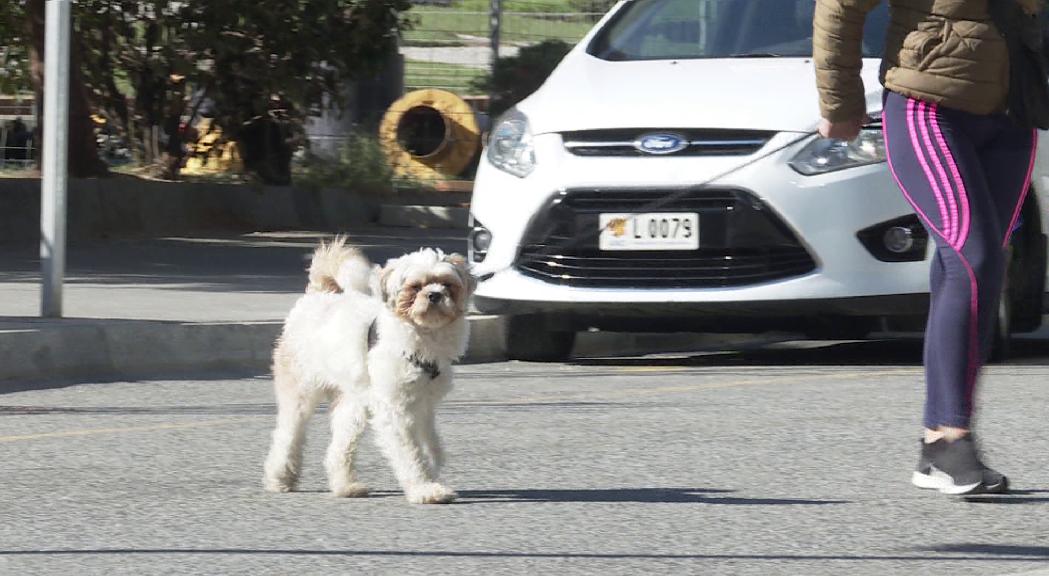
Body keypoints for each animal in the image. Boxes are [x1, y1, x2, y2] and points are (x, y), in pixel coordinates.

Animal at [262, 236, 476, 501]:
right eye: (415, 287)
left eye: (447, 284)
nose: (434, 294)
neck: (423, 335)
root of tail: (319, 293)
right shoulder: (395, 410)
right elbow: (410, 453)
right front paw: (424, 488)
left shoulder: (422, 407)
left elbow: (430, 446)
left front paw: (431, 472)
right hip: (301, 389)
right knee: (288, 434)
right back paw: (280, 477)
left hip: (354, 403)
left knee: (340, 446)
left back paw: (345, 485)